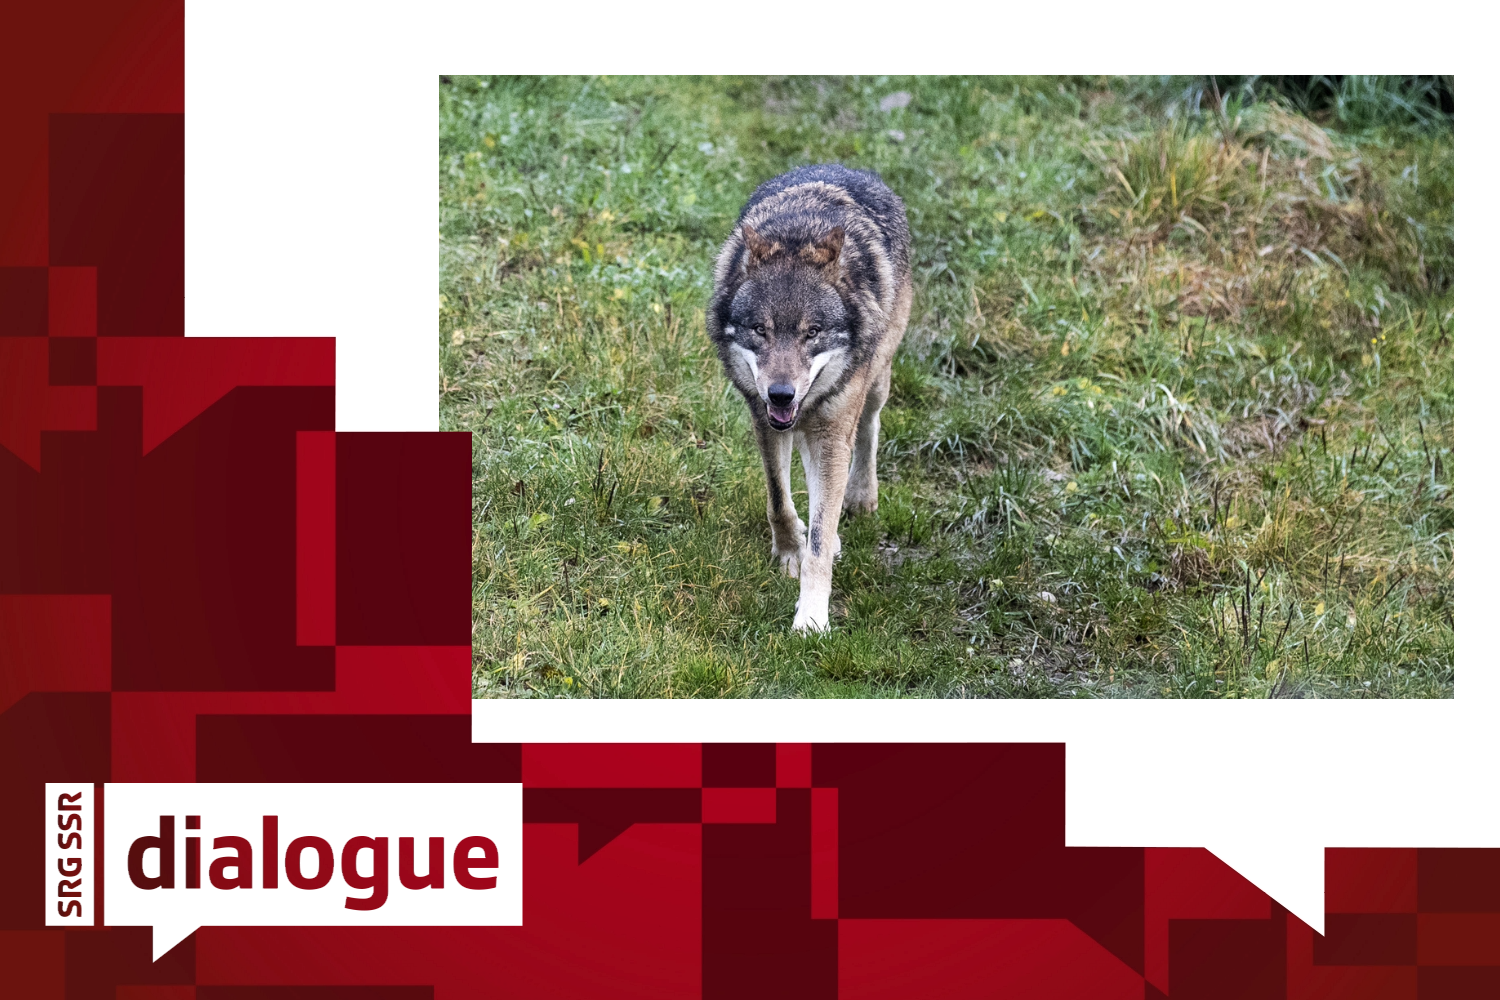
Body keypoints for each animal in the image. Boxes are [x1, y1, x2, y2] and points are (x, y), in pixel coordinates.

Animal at [707, 164, 913, 632]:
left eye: (812, 332)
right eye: (760, 330)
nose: (781, 393)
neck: (798, 233)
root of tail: (848, 167)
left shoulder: (832, 431)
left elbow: (820, 535)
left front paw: (812, 618)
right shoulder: (764, 419)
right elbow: (779, 501)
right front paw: (789, 554)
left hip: (874, 383)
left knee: (869, 429)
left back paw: (860, 497)